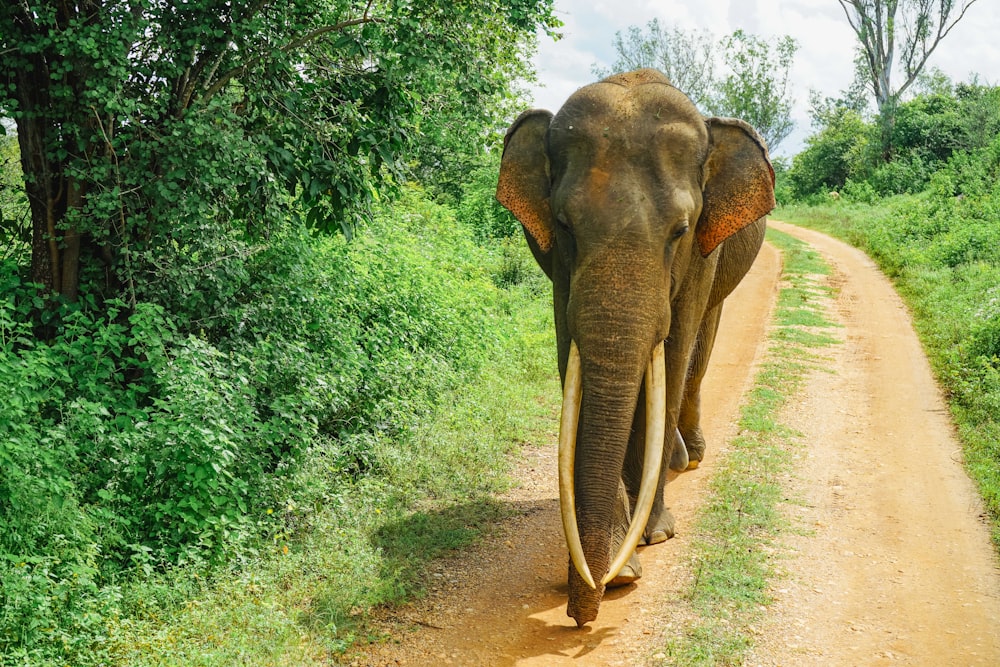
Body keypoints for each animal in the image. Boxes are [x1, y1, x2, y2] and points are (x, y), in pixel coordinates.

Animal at [496, 69, 776, 628]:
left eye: (681, 230)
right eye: (563, 225)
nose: (581, 616)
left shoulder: (701, 254)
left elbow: (670, 356)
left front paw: (654, 537)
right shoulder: (559, 269)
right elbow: (572, 358)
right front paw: (619, 570)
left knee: (696, 358)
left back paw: (689, 458)